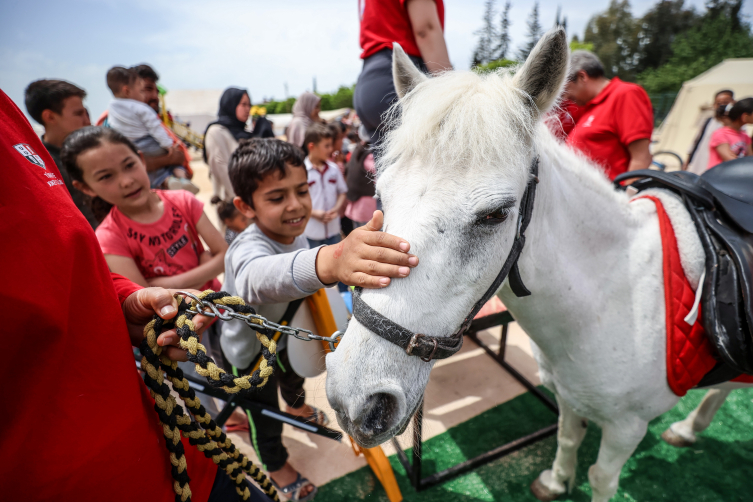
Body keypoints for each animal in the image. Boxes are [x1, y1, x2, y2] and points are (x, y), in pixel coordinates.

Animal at [326, 29, 748, 500]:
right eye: (380, 195)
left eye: (495, 214)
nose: (355, 401)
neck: (611, 299)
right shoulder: (568, 395)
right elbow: (566, 437)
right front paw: (556, 480)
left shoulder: (626, 428)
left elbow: (601, 477)